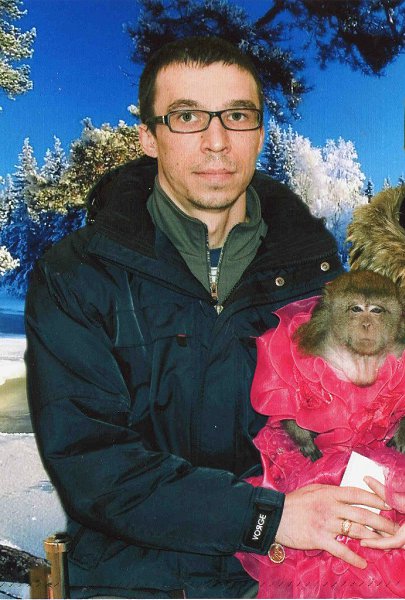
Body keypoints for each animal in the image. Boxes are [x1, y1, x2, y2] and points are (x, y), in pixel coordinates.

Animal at [282, 270, 405, 461]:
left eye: (376, 310)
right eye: (356, 309)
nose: (366, 324)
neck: (361, 357)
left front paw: (402, 435)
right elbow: (288, 397)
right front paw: (304, 438)